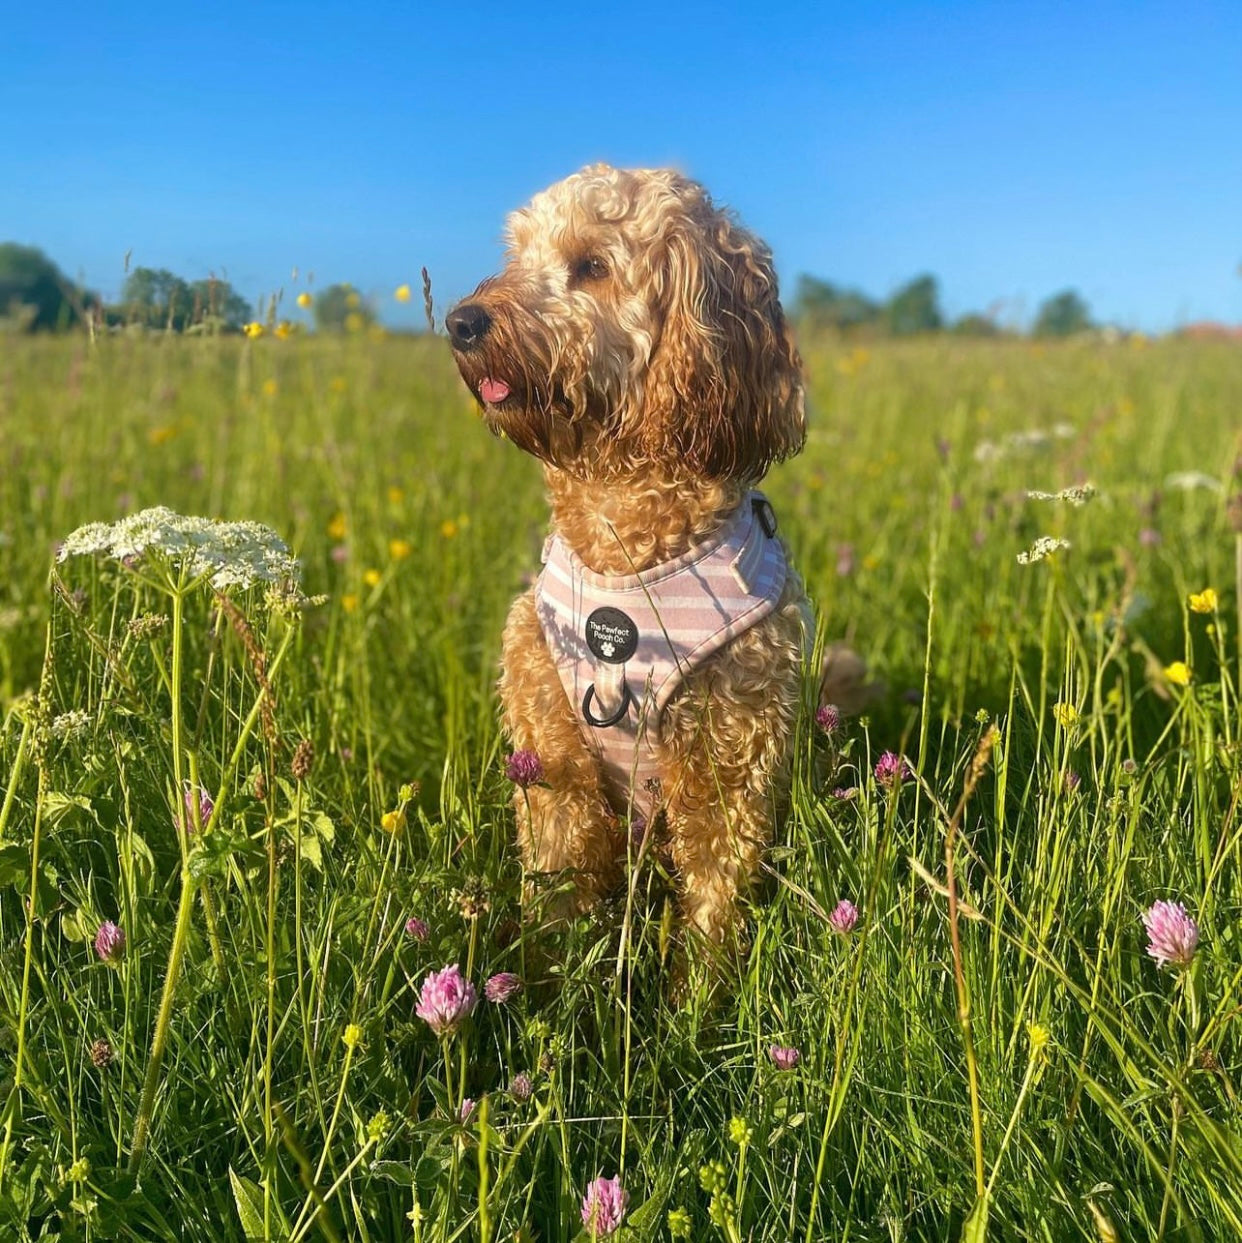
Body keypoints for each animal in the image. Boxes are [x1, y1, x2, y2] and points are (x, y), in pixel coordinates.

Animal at [445, 165, 845, 949]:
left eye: (592, 267)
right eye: (517, 255)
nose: (460, 321)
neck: (625, 546)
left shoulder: (729, 767)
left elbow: (713, 912)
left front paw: (701, 987)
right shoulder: (555, 763)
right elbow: (559, 893)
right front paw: (549, 976)